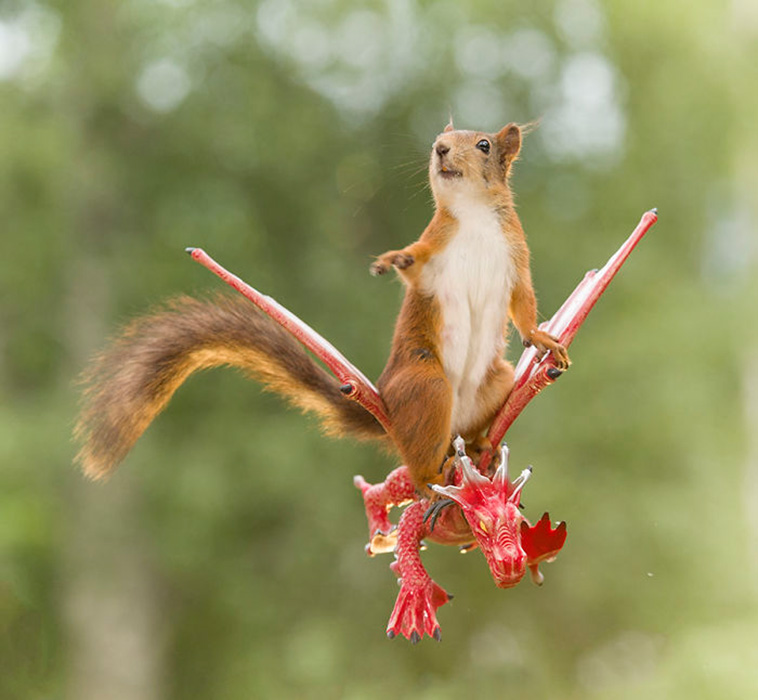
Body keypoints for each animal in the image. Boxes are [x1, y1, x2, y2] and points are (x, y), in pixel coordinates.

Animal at [74, 121, 568, 493]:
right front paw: (394, 260)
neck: (474, 218)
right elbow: (417, 268)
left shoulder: (515, 258)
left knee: (470, 427)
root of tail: (393, 412)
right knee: (417, 457)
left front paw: (542, 338)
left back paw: (480, 445)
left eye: (484, 144)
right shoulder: (436, 253)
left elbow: (524, 303)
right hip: (425, 385)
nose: (440, 148)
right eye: (438, 140)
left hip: (495, 381)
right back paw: (433, 476)